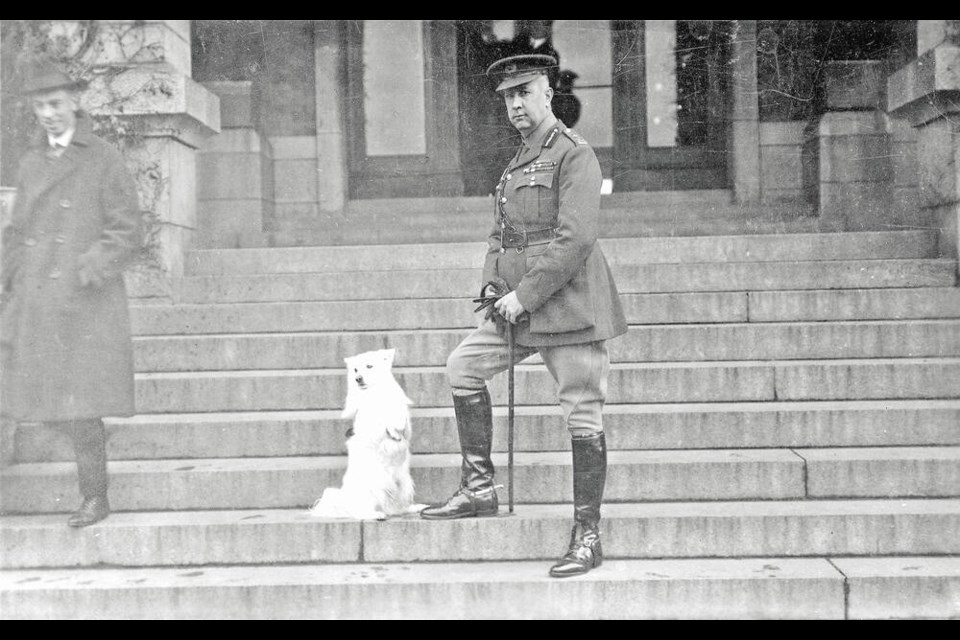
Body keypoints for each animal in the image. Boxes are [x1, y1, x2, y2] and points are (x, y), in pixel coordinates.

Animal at [310, 350, 426, 520]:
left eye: (369, 366)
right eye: (355, 370)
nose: (358, 378)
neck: (374, 394)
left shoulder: (406, 425)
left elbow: (402, 423)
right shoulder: (371, 428)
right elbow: (383, 425)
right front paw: (391, 429)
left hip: (404, 484)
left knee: (395, 508)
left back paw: (412, 508)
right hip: (373, 489)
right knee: (361, 512)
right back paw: (375, 515)